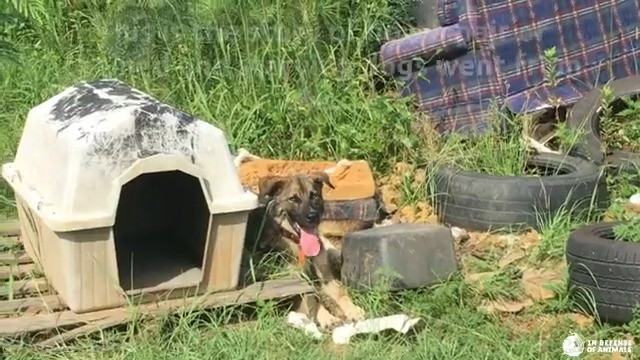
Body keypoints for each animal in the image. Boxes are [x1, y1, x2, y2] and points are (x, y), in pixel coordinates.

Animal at [256, 173, 370, 330]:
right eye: (293, 199)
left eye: (314, 196)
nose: (312, 216)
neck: (299, 245)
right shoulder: (294, 283)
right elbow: (314, 299)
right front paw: (327, 317)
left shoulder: (326, 277)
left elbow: (340, 292)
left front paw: (352, 309)